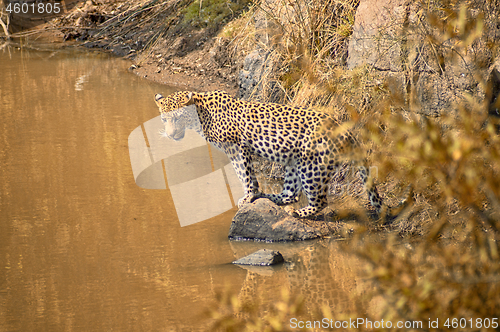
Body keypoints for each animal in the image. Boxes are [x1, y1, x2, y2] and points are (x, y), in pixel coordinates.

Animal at [153, 91, 382, 218]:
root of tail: (344, 129)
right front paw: (253, 194)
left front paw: (248, 195)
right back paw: (267, 196)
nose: (171, 135)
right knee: (290, 194)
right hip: (293, 163)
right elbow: (248, 176)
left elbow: (244, 174)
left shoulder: (236, 148)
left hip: (312, 167)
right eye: (164, 119)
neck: (200, 115)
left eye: (178, 117)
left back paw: (298, 212)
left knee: (319, 200)